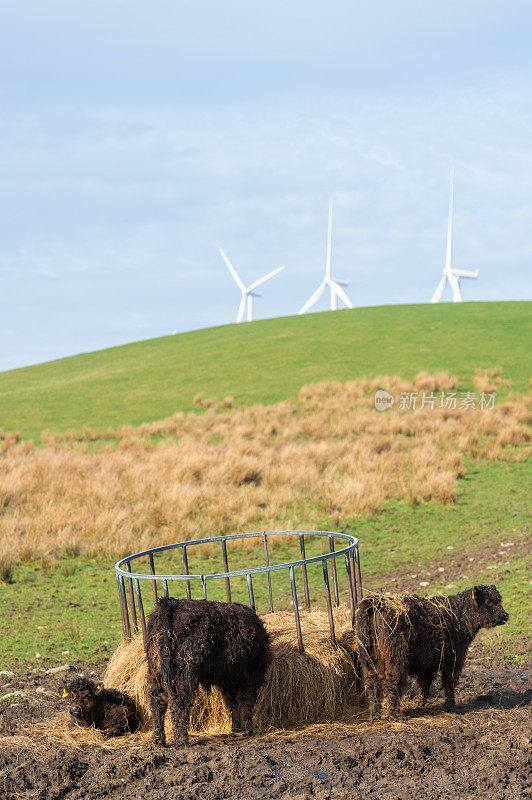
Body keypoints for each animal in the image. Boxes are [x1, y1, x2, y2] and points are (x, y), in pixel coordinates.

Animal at [144, 596, 270, 748]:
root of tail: (171, 602)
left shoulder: (229, 680)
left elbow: (232, 702)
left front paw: (236, 728)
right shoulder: (250, 676)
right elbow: (245, 701)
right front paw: (247, 729)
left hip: (156, 671)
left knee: (157, 700)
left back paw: (158, 739)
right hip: (185, 672)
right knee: (179, 702)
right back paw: (182, 739)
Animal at [356, 584, 510, 720]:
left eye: (499, 599)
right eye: (488, 601)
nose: (505, 616)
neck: (460, 616)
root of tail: (375, 602)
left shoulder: (427, 661)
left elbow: (424, 682)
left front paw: (420, 702)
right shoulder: (453, 659)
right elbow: (449, 683)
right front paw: (451, 707)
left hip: (370, 662)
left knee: (373, 685)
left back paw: (375, 715)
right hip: (395, 660)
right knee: (391, 684)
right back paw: (394, 715)